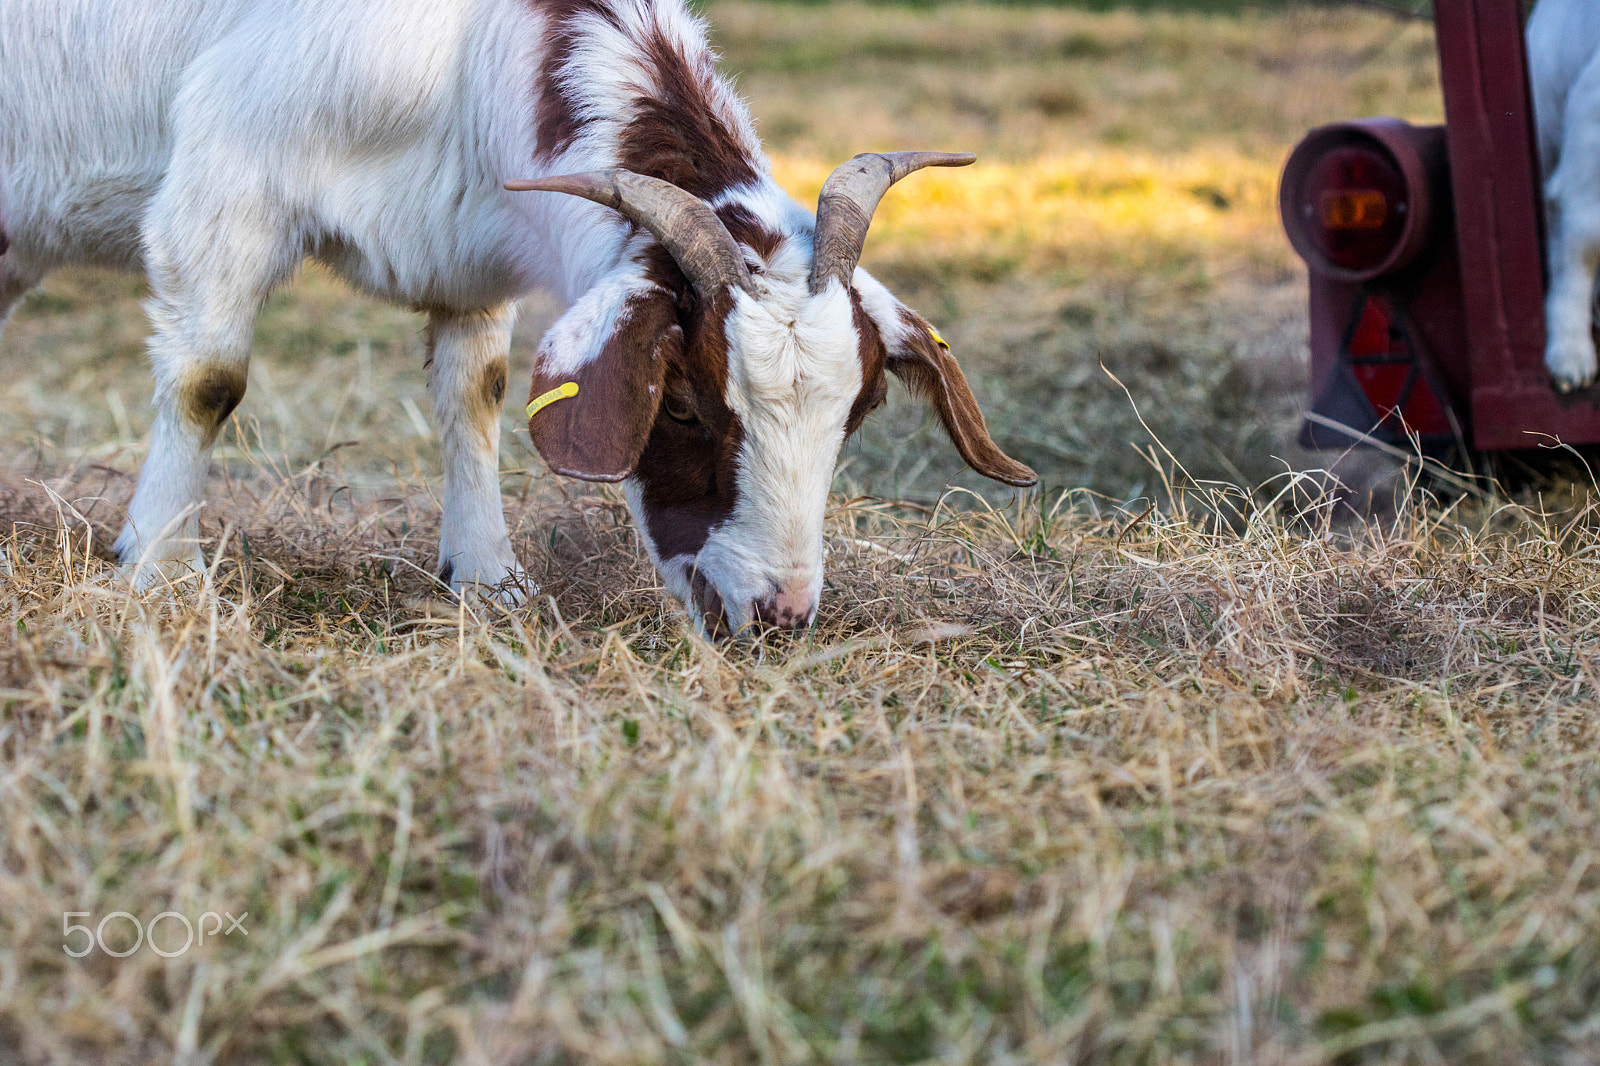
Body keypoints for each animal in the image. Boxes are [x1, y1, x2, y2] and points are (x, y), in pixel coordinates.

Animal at [0, 0, 1035, 638]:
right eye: (684, 404)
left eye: (858, 412)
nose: (777, 615)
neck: (471, 46)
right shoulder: (227, 187)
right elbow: (209, 380)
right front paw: (155, 572)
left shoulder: (466, 249)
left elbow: (476, 394)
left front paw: (489, 578)